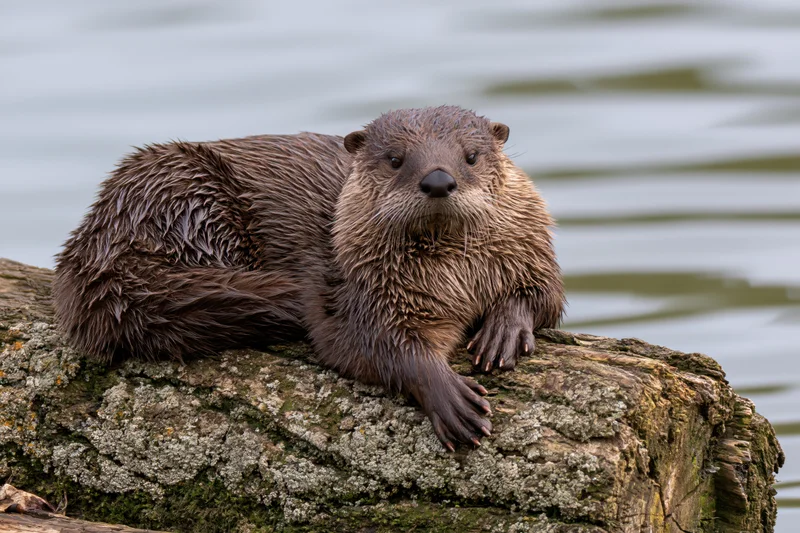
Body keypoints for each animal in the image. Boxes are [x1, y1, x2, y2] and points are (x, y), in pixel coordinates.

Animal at [53, 106, 565, 450]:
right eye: (395, 159)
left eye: (471, 156)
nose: (438, 179)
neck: (455, 277)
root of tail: (97, 245)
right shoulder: (363, 292)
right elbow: (376, 345)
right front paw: (449, 397)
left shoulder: (531, 246)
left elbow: (544, 295)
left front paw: (504, 329)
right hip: (189, 199)